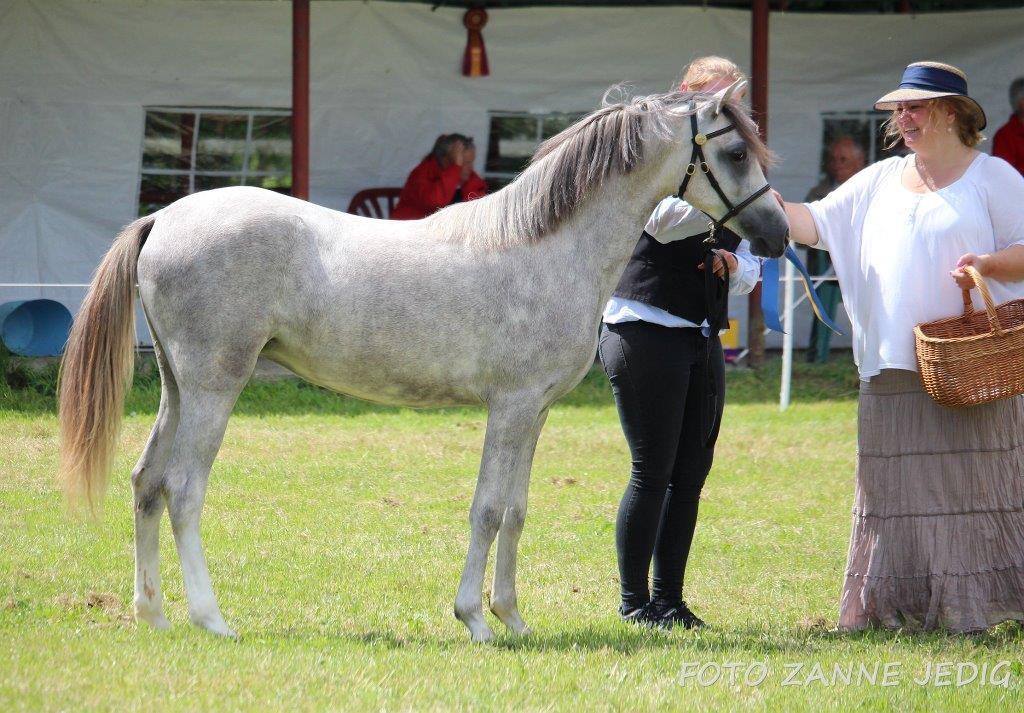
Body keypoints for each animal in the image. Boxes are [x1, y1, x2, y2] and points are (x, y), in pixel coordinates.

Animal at [58, 83, 788, 643]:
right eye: (732, 151)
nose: (779, 233)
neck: (549, 248)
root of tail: (163, 219)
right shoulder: (510, 407)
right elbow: (487, 510)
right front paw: (477, 621)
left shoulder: (535, 412)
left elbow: (516, 511)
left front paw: (513, 618)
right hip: (215, 387)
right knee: (183, 489)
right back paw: (211, 618)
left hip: (176, 389)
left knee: (146, 482)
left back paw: (153, 613)